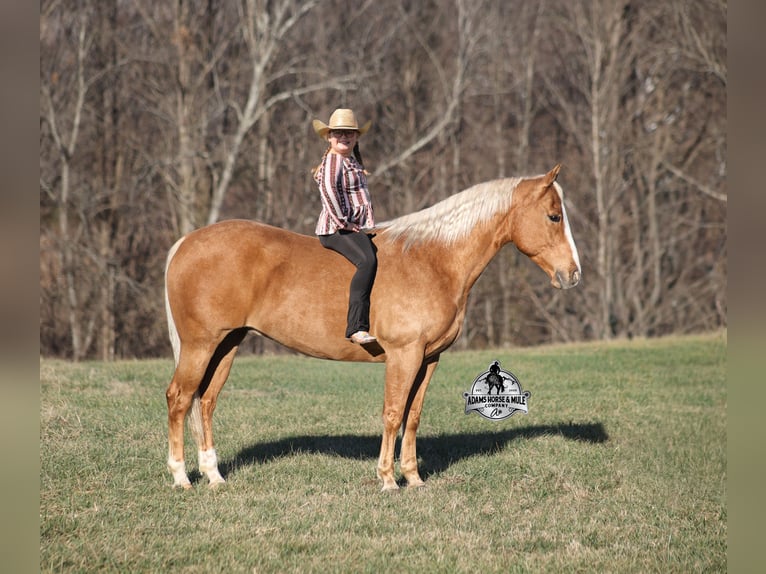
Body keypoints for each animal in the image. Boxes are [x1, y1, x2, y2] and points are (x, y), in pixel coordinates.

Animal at [163, 164, 581, 491]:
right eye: (554, 217)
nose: (573, 275)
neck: (433, 260)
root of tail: (185, 243)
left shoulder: (428, 359)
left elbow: (413, 416)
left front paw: (413, 478)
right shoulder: (403, 355)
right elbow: (393, 413)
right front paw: (388, 479)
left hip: (226, 344)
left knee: (206, 402)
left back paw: (214, 475)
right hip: (200, 345)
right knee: (180, 398)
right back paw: (181, 477)